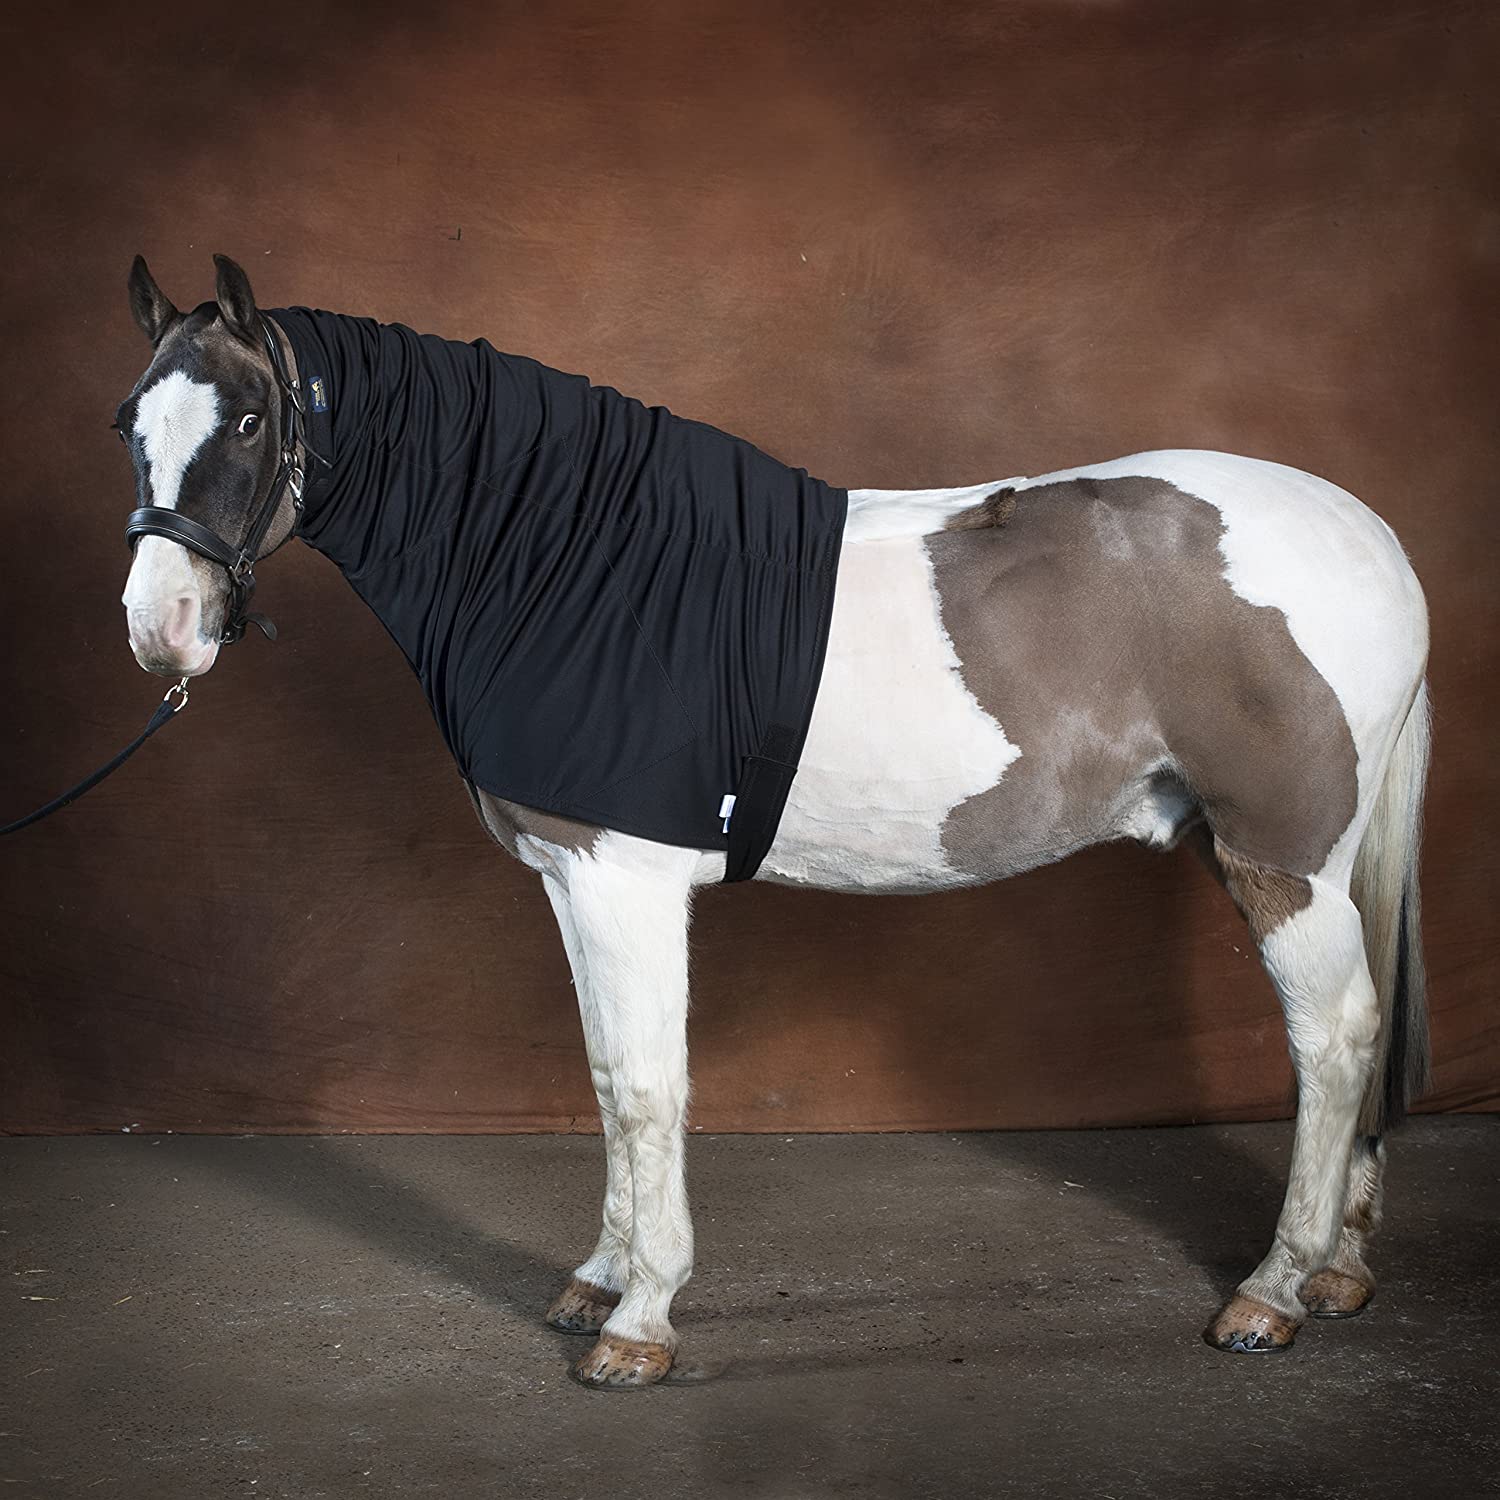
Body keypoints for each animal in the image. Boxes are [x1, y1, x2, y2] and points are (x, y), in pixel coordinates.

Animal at [115, 254, 1431, 1388]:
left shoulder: (625, 881)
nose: (161, 628)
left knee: (1334, 1040)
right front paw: (599, 1278)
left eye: (248, 421)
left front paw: (642, 1319)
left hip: (1281, 862)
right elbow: (606, 1072)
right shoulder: (568, 880)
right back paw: (1338, 1273)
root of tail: (1372, 538)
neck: (570, 564)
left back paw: (1270, 1290)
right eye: (132, 425)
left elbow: (651, 1084)